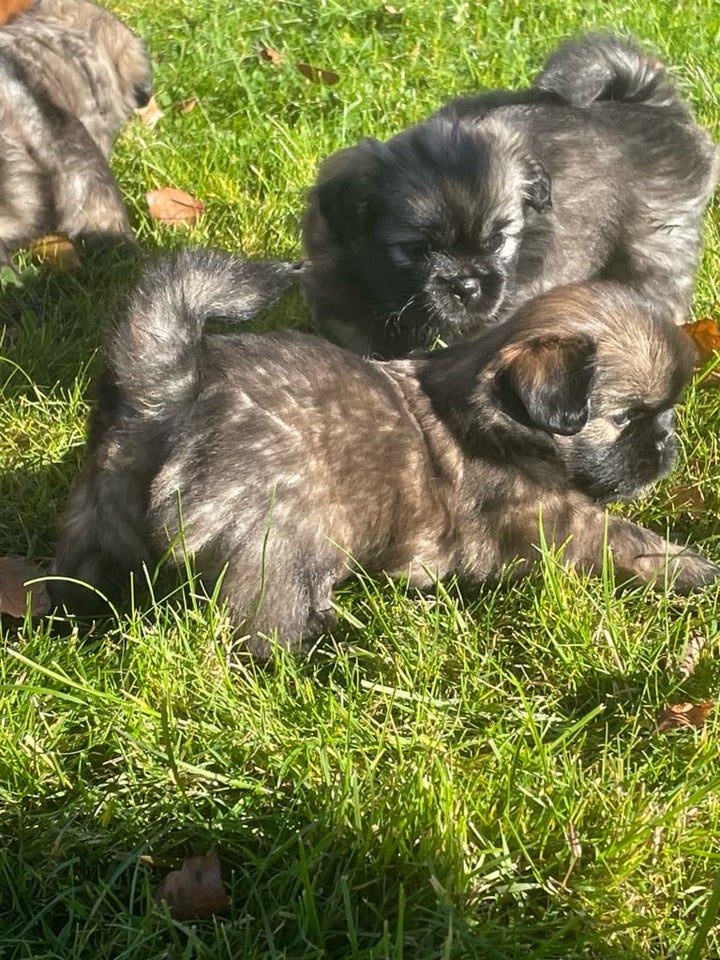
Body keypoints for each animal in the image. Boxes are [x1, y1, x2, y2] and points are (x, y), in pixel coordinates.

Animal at [52, 251, 720, 660]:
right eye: (627, 418)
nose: (667, 444)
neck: (494, 413)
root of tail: (176, 391)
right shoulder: (557, 522)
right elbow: (627, 541)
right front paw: (694, 568)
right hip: (281, 540)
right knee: (263, 623)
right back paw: (312, 658)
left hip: (100, 506)